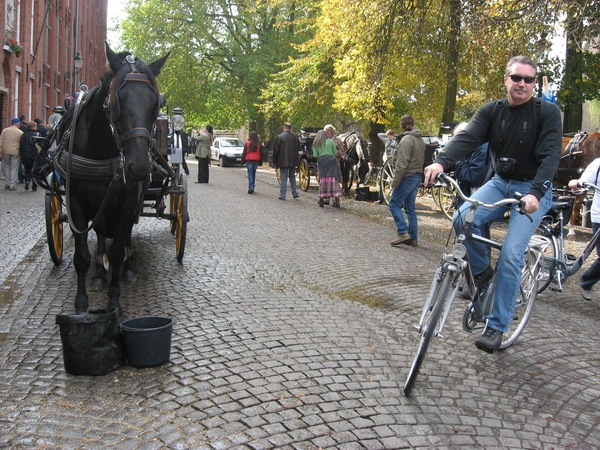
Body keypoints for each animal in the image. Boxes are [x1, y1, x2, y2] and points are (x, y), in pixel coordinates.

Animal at [54, 44, 168, 314]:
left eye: (156, 104)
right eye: (117, 101)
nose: (139, 166)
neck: (101, 148)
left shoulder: (128, 200)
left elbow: (117, 251)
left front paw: (114, 300)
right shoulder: (75, 202)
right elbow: (82, 256)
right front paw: (81, 304)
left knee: (124, 235)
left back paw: (128, 267)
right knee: (100, 234)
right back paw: (98, 272)